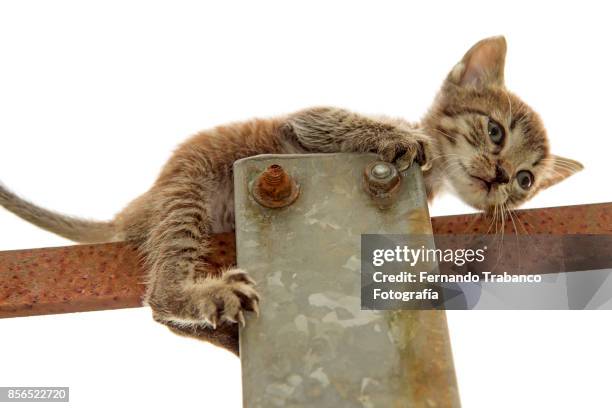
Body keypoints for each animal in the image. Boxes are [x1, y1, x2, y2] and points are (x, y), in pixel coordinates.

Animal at [0, 36, 580, 352]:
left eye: (527, 181)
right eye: (496, 132)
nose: (502, 176)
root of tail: (135, 208)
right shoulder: (308, 122)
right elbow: (349, 125)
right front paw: (397, 137)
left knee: (160, 314)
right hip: (186, 191)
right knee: (160, 293)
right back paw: (205, 296)